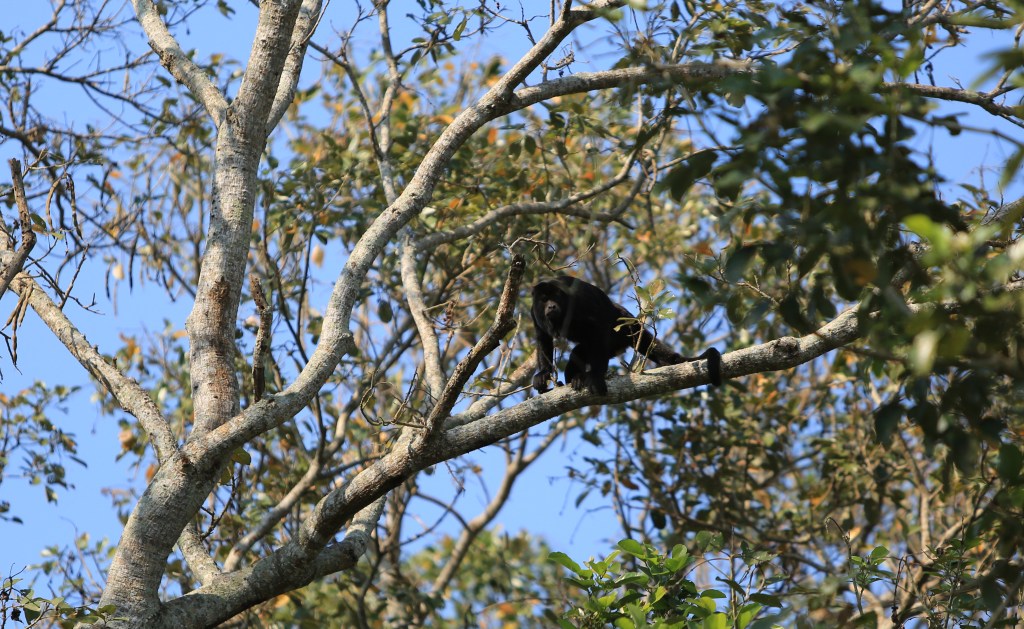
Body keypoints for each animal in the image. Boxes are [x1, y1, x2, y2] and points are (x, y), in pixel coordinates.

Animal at [531, 275, 722, 395]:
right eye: (543, 300)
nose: (551, 306)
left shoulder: (577, 302)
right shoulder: (534, 312)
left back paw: (583, 377)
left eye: (555, 297)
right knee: (577, 353)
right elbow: (542, 337)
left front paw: (596, 377)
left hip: (618, 334)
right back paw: (575, 378)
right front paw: (544, 373)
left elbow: (597, 328)